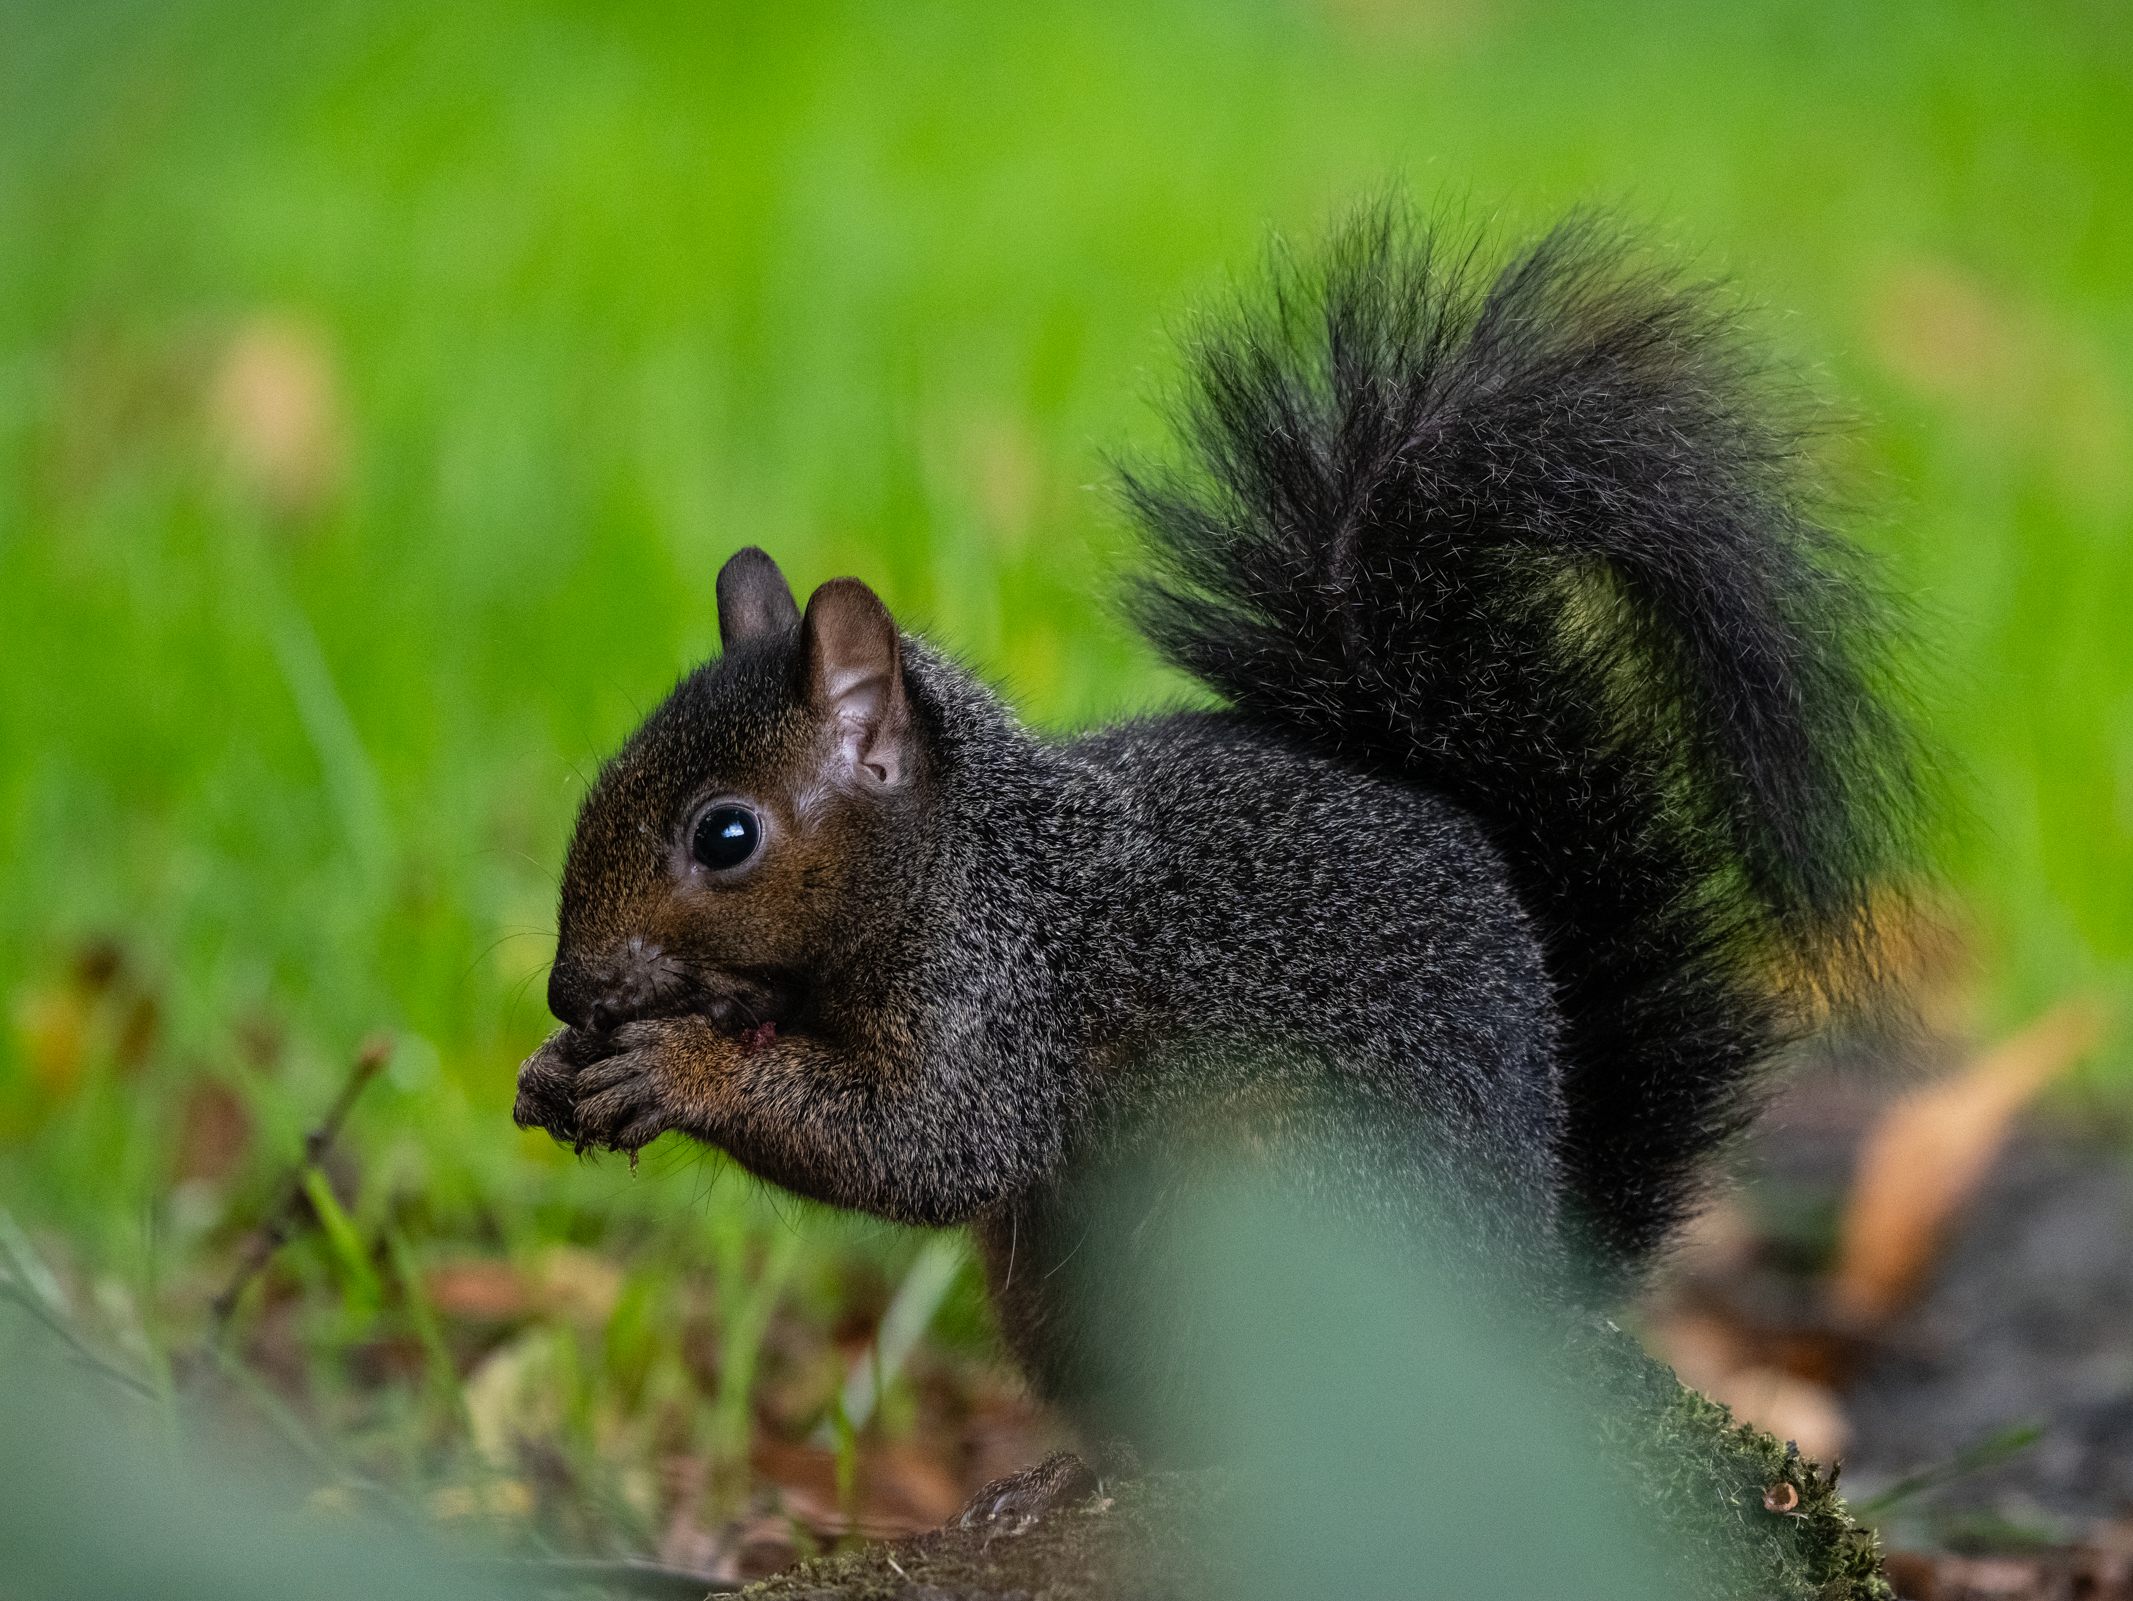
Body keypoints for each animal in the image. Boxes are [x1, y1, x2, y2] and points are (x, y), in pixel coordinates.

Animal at [516, 213, 1919, 1517]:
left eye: (727, 834)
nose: (568, 990)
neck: (972, 863)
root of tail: (1516, 1297)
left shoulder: (1008, 996)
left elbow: (926, 1142)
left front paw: (676, 1066)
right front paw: (558, 1067)